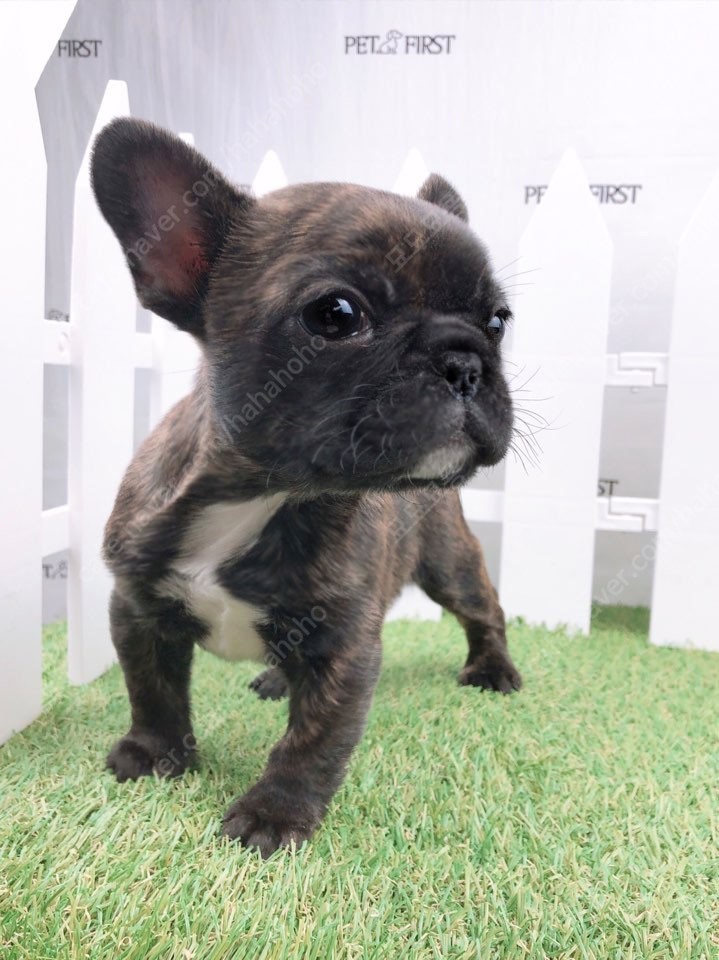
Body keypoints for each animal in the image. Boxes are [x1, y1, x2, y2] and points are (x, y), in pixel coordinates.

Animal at [90, 118, 521, 858]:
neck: (264, 494)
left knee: (482, 610)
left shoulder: (344, 645)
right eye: (336, 314)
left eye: (498, 320)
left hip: (448, 561)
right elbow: (151, 689)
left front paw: (274, 813)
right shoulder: (136, 605)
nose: (465, 360)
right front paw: (154, 753)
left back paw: (493, 670)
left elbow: (314, 740)